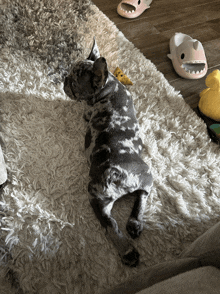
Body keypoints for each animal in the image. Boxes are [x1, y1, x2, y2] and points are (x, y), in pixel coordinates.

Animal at [64, 38, 153, 266]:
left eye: (74, 84)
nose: (64, 78)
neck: (110, 87)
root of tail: (117, 174)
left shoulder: (88, 110)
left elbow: (86, 112)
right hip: (141, 176)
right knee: (136, 200)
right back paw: (132, 232)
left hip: (99, 193)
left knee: (111, 222)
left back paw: (126, 248)